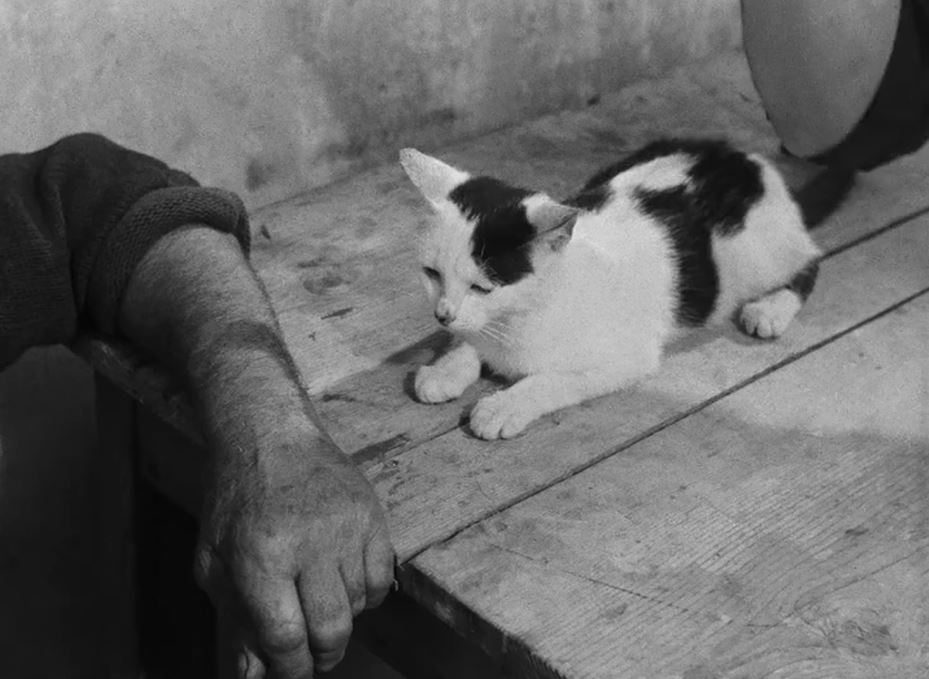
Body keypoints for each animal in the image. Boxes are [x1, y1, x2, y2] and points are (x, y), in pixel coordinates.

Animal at [398, 141, 848, 444]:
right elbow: (468, 341)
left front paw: (503, 405)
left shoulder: (627, 356)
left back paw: (771, 308)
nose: (442, 315)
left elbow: (551, 379)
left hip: (758, 256)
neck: (521, 318)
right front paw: (445, 369)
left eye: (482, 287)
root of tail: (753, 164)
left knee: (811, 259)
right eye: (432, 273)